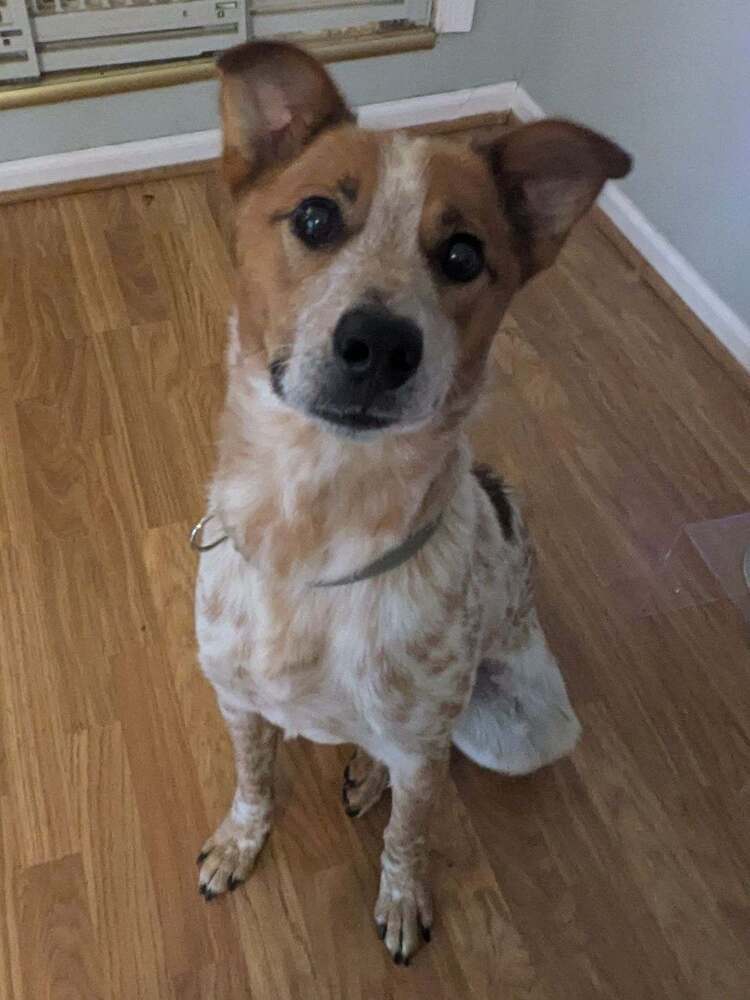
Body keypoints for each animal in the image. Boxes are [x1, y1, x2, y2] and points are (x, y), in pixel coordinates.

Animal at [192, 43, 628, 964]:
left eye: (463, 256)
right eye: (315, 218)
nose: (380, 343)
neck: (313, 531)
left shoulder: (426, 748)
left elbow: (410, 833)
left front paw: (401, 899)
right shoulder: (236, 700)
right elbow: (253, 782)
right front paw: (242, 841)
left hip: (511, 731)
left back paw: (370, 771)